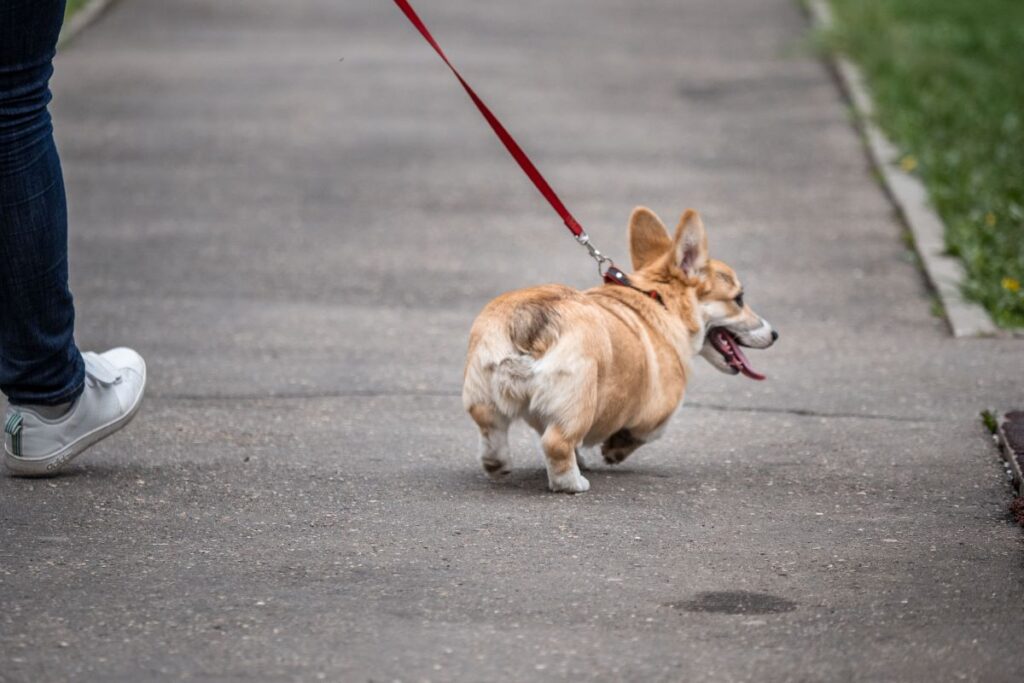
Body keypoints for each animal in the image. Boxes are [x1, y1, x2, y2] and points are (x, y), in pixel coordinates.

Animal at [464, 205, 774, 493]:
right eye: (739, 299)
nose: (775, 334)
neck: (659, 300)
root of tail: (530, 318)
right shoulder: (661, 412)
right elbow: (645, 433)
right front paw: (614, 450)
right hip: (578, 402)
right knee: (557, 443)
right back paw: (574, 483)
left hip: (483, 391)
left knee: (489, 424)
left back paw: (497, 464)